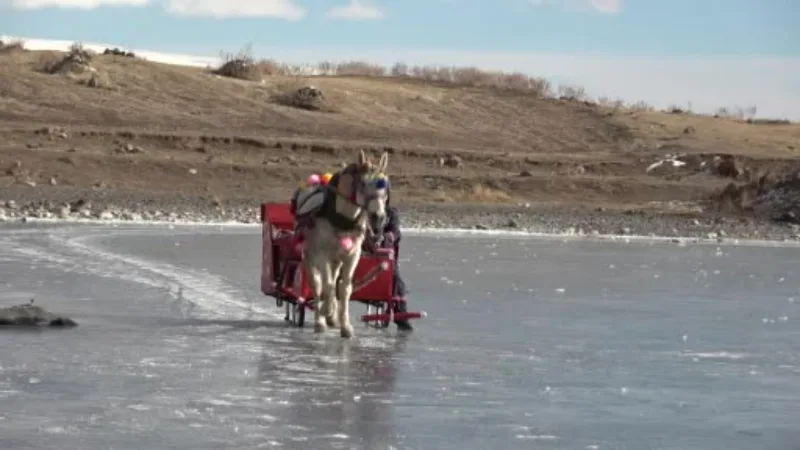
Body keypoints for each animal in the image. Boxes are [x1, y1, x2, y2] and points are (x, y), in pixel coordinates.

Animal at [300, 150, 390, 338]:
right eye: (363, 183)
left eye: (385, 185)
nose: (378, 217)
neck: (342, 219)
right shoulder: (323, 256)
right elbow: (326, 286)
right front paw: (326, 312)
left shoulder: (352, 256)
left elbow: (345, 288)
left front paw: (345, 326)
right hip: (310, 258)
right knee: (318, 286)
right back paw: (320, 321)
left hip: (336, 261)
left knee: (334, 282)